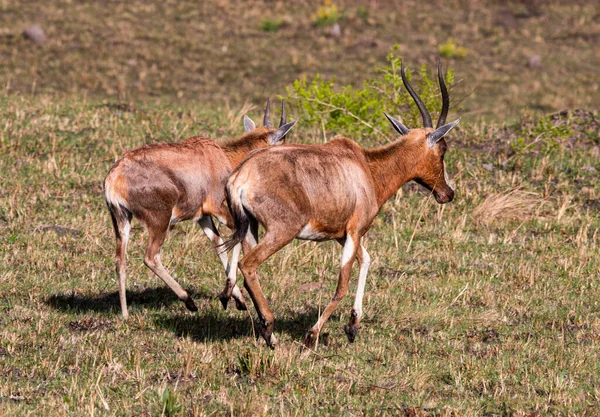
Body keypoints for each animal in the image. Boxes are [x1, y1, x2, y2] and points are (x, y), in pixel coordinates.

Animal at [105, 100, 298, 318]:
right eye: (283, 142)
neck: (220, 155)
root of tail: (114, 177)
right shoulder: (217, 208)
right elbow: (236, 235)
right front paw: (229, 295)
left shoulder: (202, 217)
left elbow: (218, 245)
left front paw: (237, 299)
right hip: (160, 220)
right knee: (151, 257)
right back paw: (188, 301)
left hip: (121, 221)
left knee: (120, 261)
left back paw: (125, 314)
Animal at [225, 61, 460, 348]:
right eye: (443, 148)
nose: (447, 193)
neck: (365, 165)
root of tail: (242, 174)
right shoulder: (355, 231)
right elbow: (342, 284)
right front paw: (312, 335)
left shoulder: (341, 234)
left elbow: (367, 260)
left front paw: (353, 325)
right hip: (282, 231)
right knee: (248, 265)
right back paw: (270, 331)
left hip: (250, 228)